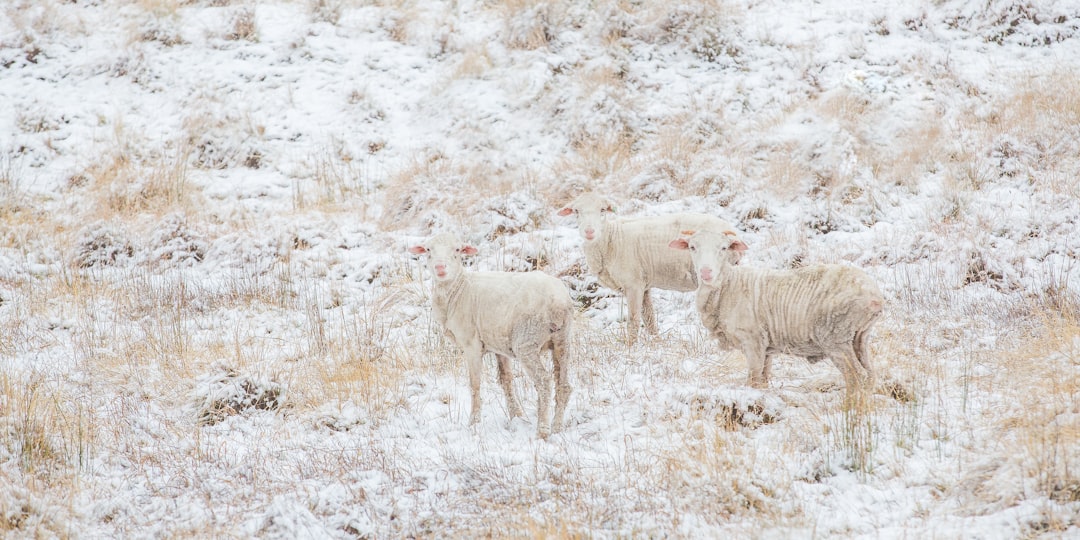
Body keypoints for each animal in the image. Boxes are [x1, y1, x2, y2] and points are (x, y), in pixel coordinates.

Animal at [406, 232, 574, 438]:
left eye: (457, 249)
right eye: (428, 249)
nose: (440, 267)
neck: (458, 289)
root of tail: (559, 303)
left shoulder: (471, 343)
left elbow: (475, 383)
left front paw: (474, 422)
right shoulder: (499, 345)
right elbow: (506, 381)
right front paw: (516, 416)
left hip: (527, 340)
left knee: (543, 382)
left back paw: (542, 430)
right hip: (562, 340)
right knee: (564, 385)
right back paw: (557, 428)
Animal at [557, 192, 743, 345]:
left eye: (602, 210)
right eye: (576, 211)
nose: (589, 232)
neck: (610, 239)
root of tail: (734, 234)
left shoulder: (633, 284)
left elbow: (633, 319)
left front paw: (630, 347)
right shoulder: (643, 285)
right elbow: (649, 317)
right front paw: (656, 342)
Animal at [665, 230, 885, 395]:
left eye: (724, 248)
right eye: (693, 247)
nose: (706, 273)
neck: (727, 285)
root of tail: (874, 296)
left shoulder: (752, 340)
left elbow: (753, 379)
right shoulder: (766, 347)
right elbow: (763, 380)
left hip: (836, 337)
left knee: (856, 376)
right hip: (859, 336)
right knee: (870, 374)